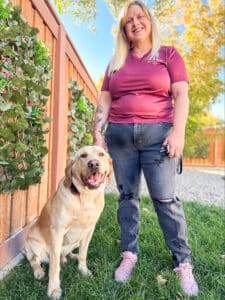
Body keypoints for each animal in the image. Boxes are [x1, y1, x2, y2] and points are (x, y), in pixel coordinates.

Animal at [24, 145, 112, 298]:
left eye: (101, 154)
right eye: (83, 156)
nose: (94, 164)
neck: (86, 197)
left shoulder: (89, 230)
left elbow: (83, 253)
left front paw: (83, 269)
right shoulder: (57, 231)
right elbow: (54, 267)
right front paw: (54, 289)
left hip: (75, 242)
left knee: (67, 253)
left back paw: (71, 257)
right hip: (33, 242)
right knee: (34, 260)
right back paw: (39, 271)